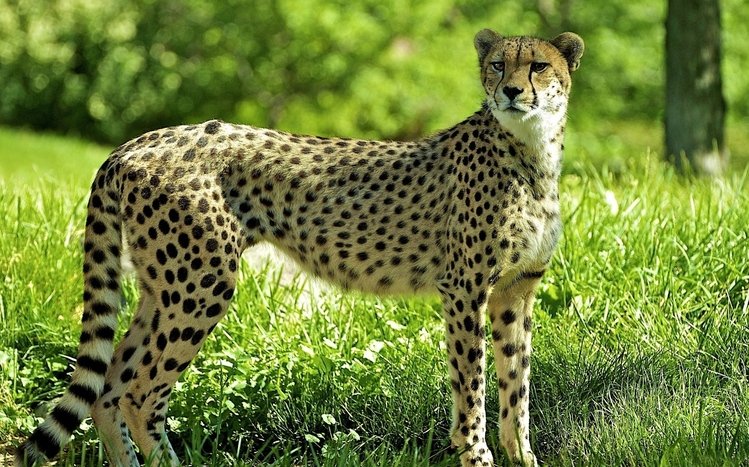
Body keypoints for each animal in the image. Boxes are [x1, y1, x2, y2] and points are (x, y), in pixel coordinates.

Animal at [16, 29, 583, 467]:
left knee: (108, 388)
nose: (511, 91)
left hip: (165, 286)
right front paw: (477, 455)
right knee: (138, 393)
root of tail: (137, 141)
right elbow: (473, 387)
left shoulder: (515, 291)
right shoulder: (464, 289)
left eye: (538, 66)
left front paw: (523, 457)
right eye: (497, 64)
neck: (531, 150)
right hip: (202, 284)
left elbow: (517, 384)